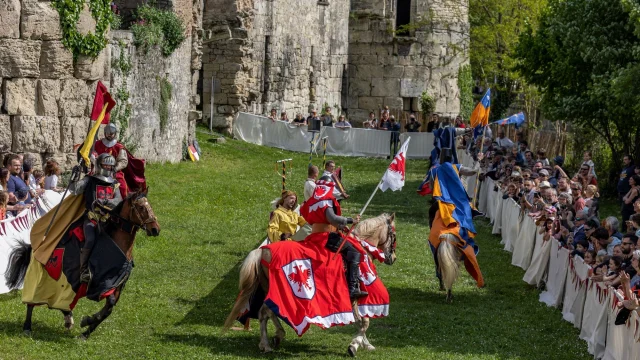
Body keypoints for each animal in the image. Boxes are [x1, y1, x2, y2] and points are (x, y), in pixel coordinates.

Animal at [5, 190, 160, 338]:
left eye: (150, 206)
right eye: (141, 207)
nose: (155, 229)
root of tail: (36, 246)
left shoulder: (117, 285)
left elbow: (108, 309)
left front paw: (86, 331)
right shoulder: (102, 284)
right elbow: (109, 304)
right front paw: (88, 322)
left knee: (62, 303)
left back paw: (68, 319)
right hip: (41, 278)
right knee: (32, 301)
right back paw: (27, 327)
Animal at [224, 212, 396, 356]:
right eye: (393, 235)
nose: (392, 258)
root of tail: (263, 251)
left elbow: (361, 322)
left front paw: (365, 344)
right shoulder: (354, 297)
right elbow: (364, 322)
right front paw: (354, 345)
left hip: (269, 290)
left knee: (266, 312)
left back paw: (275, 338)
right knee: (265, 312)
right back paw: (267, 344)